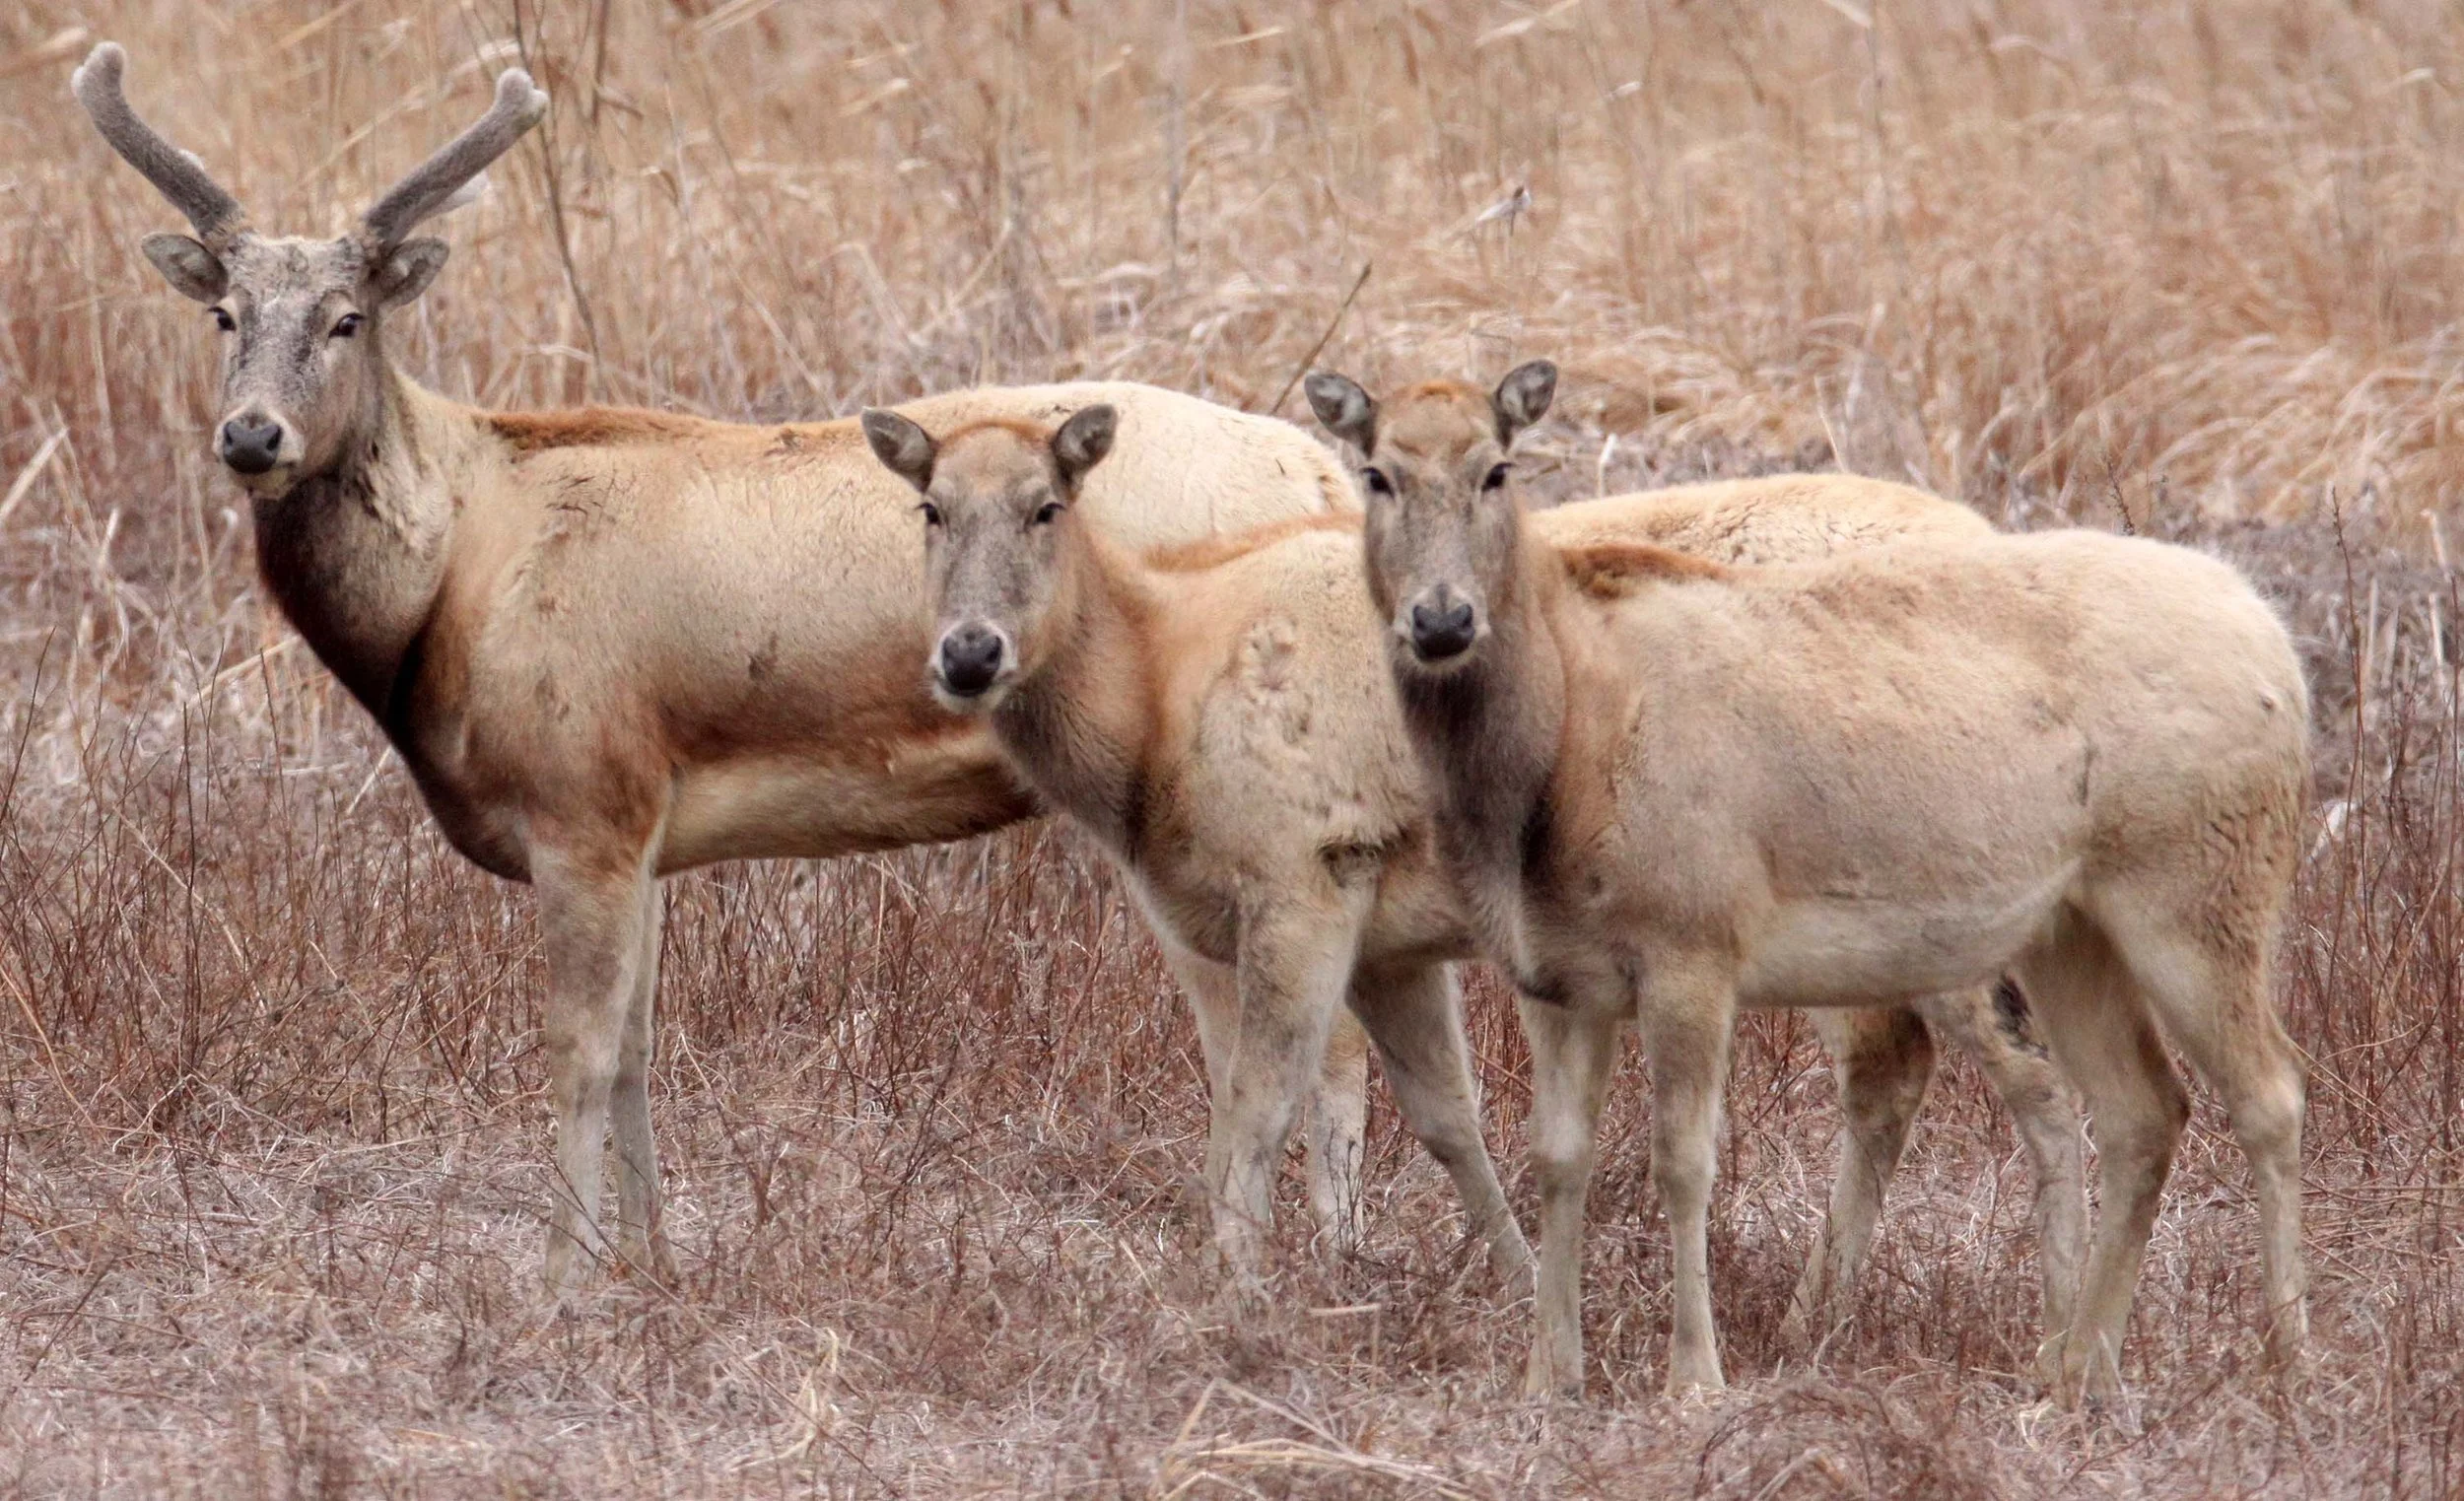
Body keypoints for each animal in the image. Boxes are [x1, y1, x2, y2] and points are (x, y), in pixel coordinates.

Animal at [72, 43, 1366, 1299]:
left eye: (347, 318)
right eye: (225, 313)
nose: (252, 435)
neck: (456, 577)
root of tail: (1325, 475)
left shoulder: (582, 790)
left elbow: (579, 1051)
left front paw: (559, 1287)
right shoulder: (641, 820)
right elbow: (640, 1050)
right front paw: (652, 1264)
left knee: (1320, 1037)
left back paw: (1332, 1257)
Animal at [859, 404, 2087, 1332]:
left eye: (1047, 505)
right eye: (929, 507)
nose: (968, 652)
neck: (1156, 702)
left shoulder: (1303, 871)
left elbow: (1257, 1109)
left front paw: (1234, 1304)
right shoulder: (1387, 937)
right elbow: (1446, 1116)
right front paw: (1515, 1281)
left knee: (2021, 1075)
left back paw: (2055, 1333)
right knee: (1906, 1063)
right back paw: (1818, 1315)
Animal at [1316, 360, 2310, 1404]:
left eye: (1498, 469)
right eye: (1377, 473)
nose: (1441, 619)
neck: (1554, 769)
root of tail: (2280, 652)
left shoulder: (1694, 942)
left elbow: (1683, 1160)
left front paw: (1696, 1378)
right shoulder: (1550, 976)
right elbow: (1556, 1158)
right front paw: (1548, 1375)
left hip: (2200, 886)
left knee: (2271, 1089)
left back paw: (2287, 1356)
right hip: (2069, 931)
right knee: (2142, 1111)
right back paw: (2080, 1370)